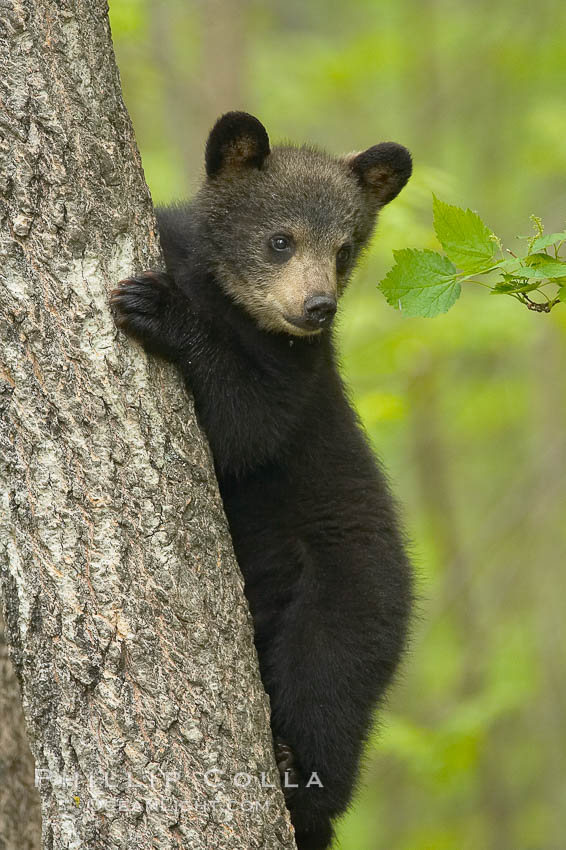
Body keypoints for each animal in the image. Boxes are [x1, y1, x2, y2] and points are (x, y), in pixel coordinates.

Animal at [111, 111, 413, 850]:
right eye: (281, 240)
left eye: (344, 249)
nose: (318, 306)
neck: (227, 297)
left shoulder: (296, 372)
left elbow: (245, 425)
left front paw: (158, 309)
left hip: (350, 593)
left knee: (326, 693)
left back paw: (296, 780)